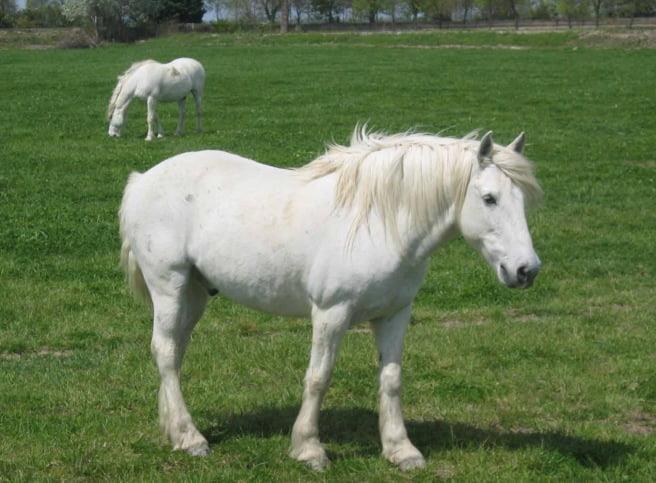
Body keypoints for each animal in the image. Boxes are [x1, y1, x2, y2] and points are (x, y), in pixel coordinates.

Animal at [119, 127, 543, 471]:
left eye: (522, 201)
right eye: (489, 198)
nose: (527, 270)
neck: (380, 222)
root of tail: (143, 181)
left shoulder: (395, 314)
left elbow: (391, 379)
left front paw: (401, 450)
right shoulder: (331, 314)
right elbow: (318, 378)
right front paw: (309, 449)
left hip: (193, 294)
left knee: (174, 352)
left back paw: (174, 431)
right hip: (170, 286)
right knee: (165, 352)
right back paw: (191, 439)